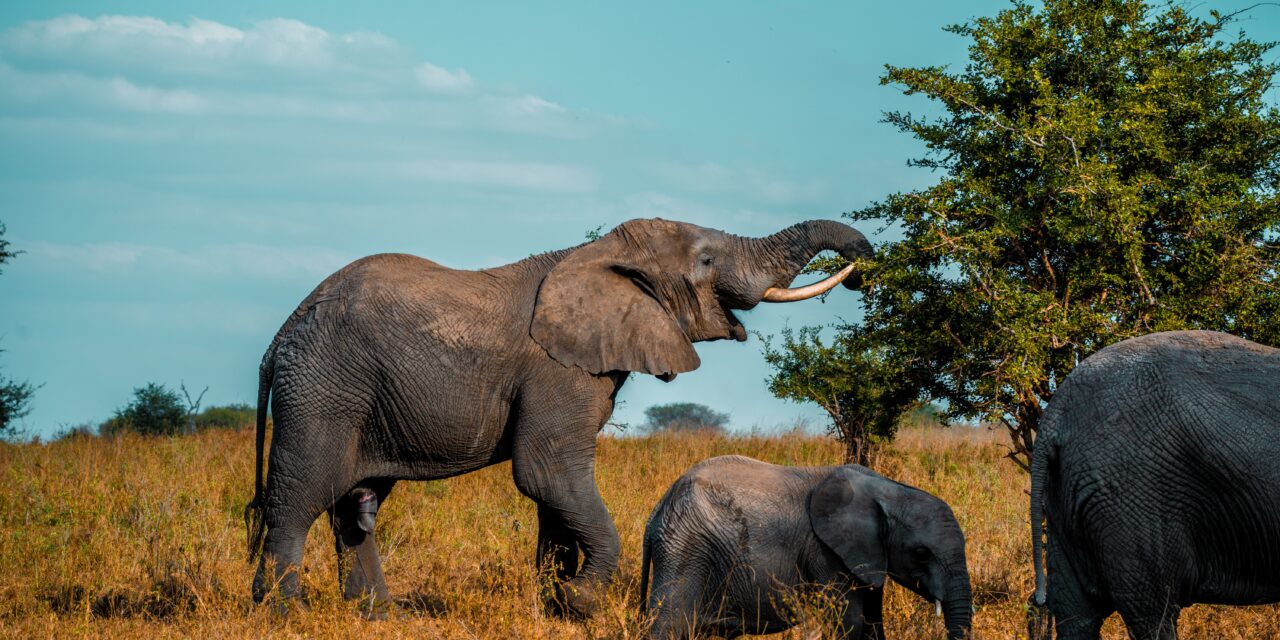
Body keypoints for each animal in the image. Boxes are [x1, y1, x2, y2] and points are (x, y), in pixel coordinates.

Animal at [242, 217, 873, 617]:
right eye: (707, 260)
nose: (865, 269)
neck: (598, 255)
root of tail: (279, 337)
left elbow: (554, 492)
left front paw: (556, 606)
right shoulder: (556, 370)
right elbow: (547, 474)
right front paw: (581, 602)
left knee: (355, 505)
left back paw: (380, 617)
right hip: (323, 388)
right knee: (300, 498)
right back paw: (283, 615)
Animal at [640, 455, 973, 639]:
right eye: (921, 554)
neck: (887, 489)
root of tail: (656, 513)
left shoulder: (867, 558)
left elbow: (872, 624)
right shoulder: (825, 552)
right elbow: (849, 623)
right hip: (685, 549)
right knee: (667, 626)